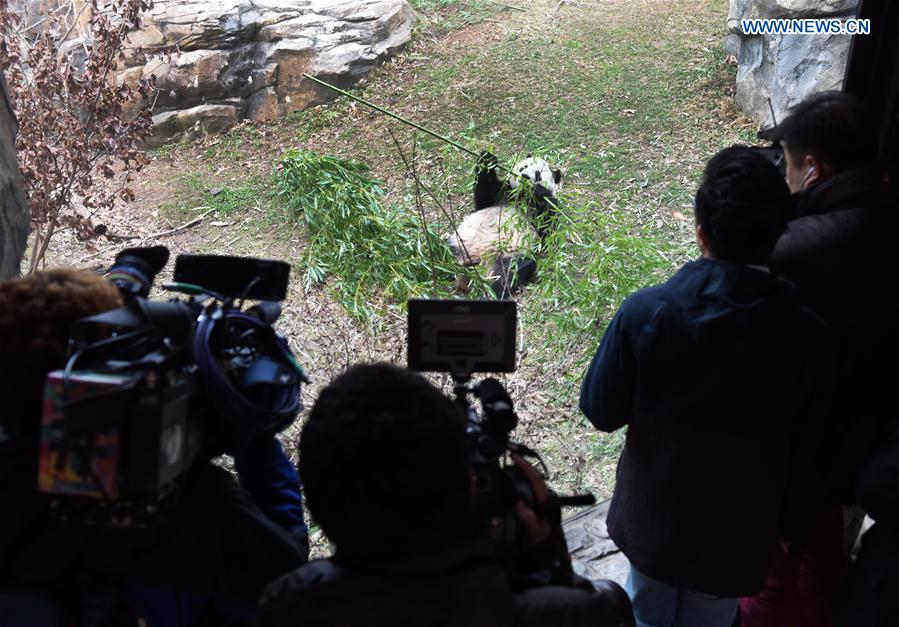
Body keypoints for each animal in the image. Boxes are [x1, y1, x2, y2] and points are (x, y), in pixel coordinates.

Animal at [448, 152, 568, 300]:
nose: (525, 176)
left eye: (538, 174)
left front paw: (539, 191)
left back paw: (491, 292)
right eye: (524, 167)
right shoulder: (505, 192)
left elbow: (547, 231)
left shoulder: (547, 206)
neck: (521, 195)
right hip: (459, 244)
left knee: (510, 273)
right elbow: (484, 197)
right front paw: (487, 159)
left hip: (508, 255)